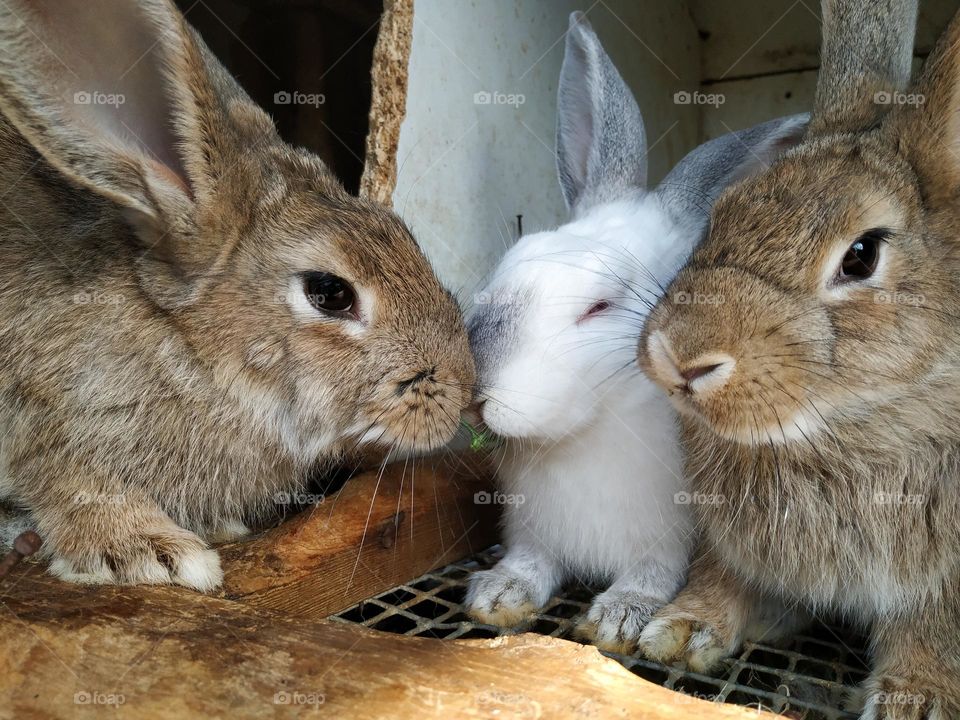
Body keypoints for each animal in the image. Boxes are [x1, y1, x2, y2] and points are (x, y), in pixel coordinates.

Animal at [0, 0, 476, 592]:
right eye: (329, 293)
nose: (464, 392)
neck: (191, 352)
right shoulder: (43, 425)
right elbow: (71, 487)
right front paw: (154, 553)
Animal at [462, 11, 808, 652]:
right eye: (514, 256)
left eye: (601, 306)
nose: (476, 388)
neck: (589, 431)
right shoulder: (532, 534)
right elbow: (530, 564)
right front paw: (496, 596)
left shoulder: (669, 544)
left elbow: (652, 577)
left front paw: (617, 619)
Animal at [636, 0, 960, 716]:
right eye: (722, 213)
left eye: (862, 255)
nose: (678, 355)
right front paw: (683, 629)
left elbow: (930, 626)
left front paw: (915, 697)